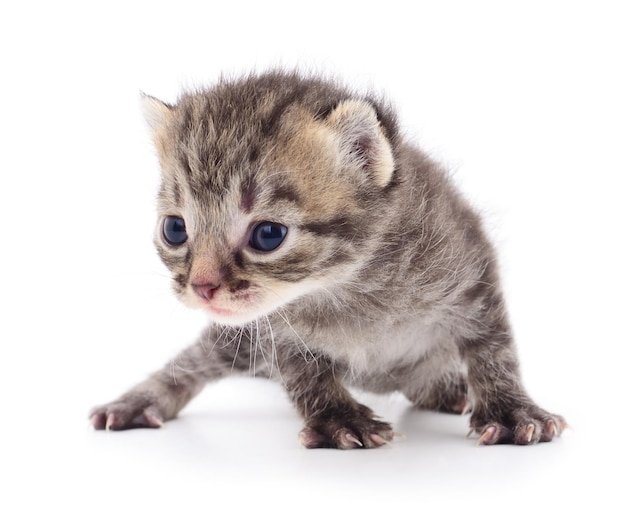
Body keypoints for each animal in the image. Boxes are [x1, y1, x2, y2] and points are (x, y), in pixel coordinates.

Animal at [91, 71, 564, 448]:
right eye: (175, 229)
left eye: (268, 235)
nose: (202, 287)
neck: (345, 286)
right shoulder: (273, 331)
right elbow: (304, 373)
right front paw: (338, 419)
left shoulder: (471, 267)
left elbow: (493, 347)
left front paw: (510, 410)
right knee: (196, 360)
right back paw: (141, 399)